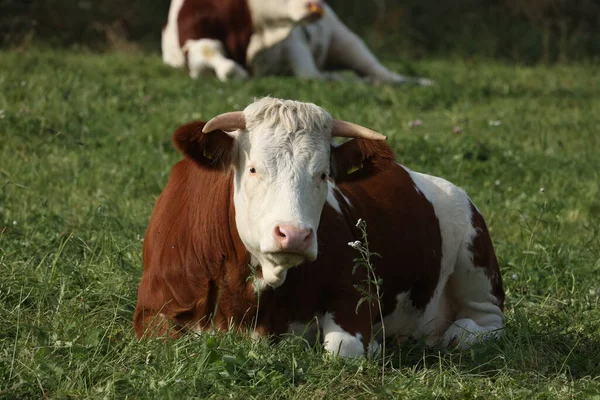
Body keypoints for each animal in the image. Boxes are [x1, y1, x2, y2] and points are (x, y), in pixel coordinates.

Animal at [134, 97, 504, 356]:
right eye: (252, 169)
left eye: (324, 174)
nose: (295, 234)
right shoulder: (152, 314)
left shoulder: (355, 295)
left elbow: (343, 348)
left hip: (476, 264)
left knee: (487, 322)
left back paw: (457, 334)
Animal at [159, 0, 432, 85]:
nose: (315, 5)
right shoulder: (192, 45)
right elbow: (218, 61)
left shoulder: (293, 38)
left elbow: (309, 73)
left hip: (344, 38)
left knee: (377, 70)